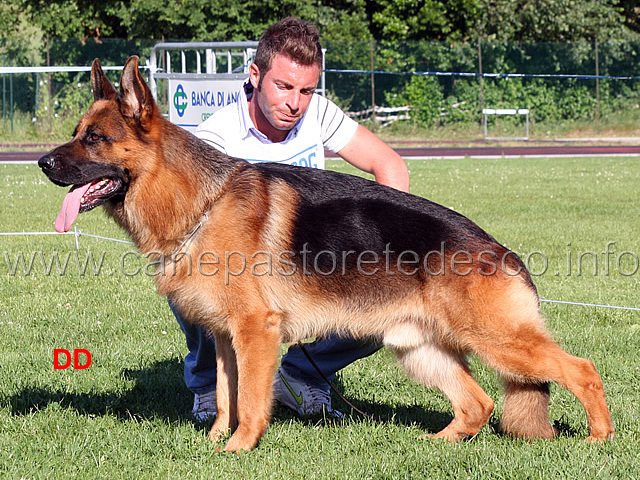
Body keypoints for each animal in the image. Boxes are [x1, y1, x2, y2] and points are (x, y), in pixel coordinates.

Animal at [40, 58, 616, 452]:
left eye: (95, 138)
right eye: (76, 134)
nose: (43, 163)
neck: (201, 201)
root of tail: (502, 250)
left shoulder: (256, 333)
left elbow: (250, 400)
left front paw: (238, 449)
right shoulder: (225, 338)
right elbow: (225, 396)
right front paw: (214, 442)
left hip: (498, 341)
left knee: (582, 369)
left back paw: (599, 438)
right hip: (419, 349)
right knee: (479, 404)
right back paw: (438, 443)